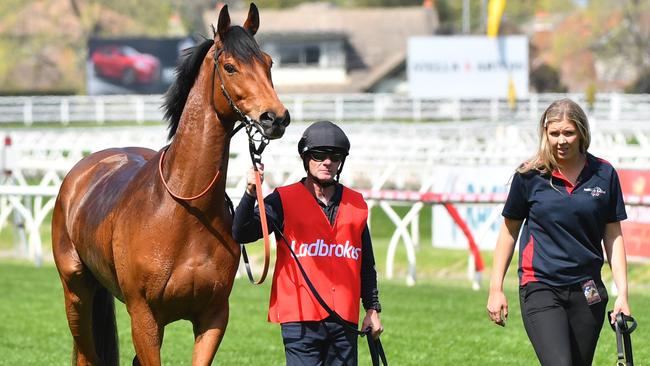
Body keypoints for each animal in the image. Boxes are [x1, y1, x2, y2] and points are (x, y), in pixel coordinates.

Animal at [48, 3, 286, 366]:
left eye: (269, 63)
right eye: (230, 66)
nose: (275, 118)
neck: (186, 210)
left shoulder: (213, 316)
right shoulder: (143, 316)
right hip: (76, 293)